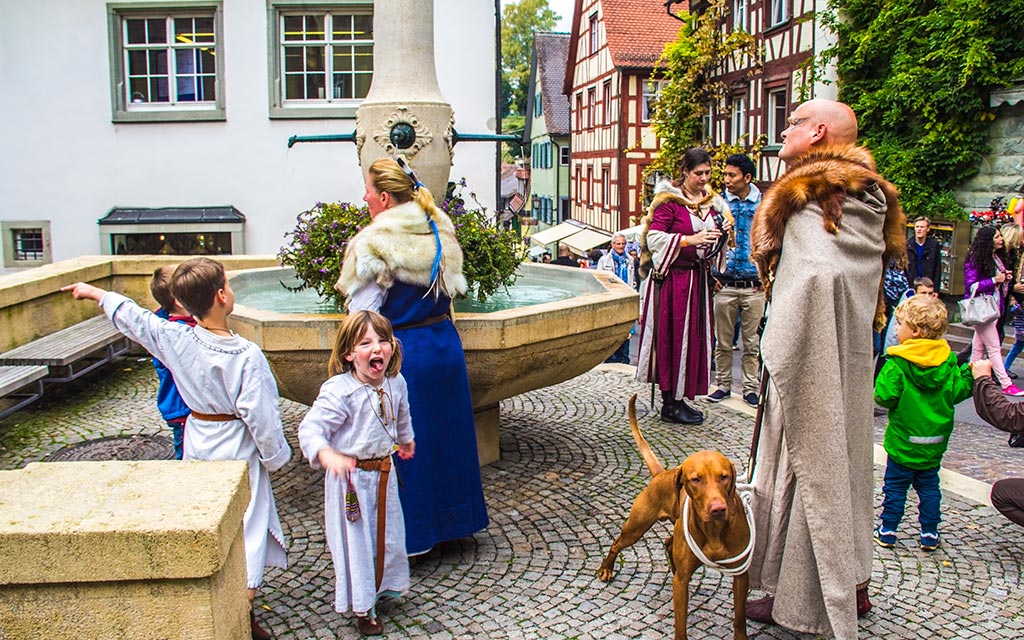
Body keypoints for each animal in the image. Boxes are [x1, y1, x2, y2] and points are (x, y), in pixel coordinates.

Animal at [598, 391, 753, 634]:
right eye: (696, 479)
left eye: (724, 476)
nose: (718, 509)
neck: (714, 531)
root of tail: (663, 474)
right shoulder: (681, 584)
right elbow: (681, 626)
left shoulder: (741, 576)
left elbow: (739, 619)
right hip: (636, 527)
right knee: (616, 544)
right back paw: (606, 569)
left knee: (668, 541)